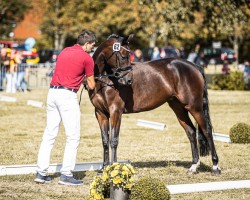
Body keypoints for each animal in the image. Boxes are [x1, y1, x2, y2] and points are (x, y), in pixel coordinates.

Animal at [88, 34, 221, 175]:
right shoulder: (100, 113)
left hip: (194, 107)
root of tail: (194, 66)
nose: (129, 80)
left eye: (128, 55)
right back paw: (193, 166)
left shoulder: (116, 111)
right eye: (123, 56)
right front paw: (103, 168)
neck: (105, 81)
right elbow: (105, 140)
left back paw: (215, 166)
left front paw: (114, 168)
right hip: (178, 107)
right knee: (191, 131)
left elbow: (113, 140)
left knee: (207, 131)